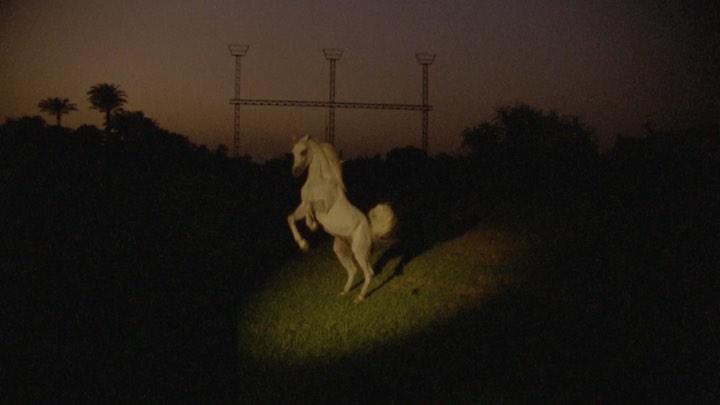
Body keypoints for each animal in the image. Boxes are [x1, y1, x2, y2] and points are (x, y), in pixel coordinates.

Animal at [287, 135, 396, 302]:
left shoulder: (323, 207)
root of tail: (369, 230)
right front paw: (303, 244)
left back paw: (359, 298)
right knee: (354, 270)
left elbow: (309, 207)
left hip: (358, 251)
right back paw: (345, 292)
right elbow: (291, 217)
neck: (318, 183)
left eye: (304, 151)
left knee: (367, 274)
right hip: (342, 251)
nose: (295, 173)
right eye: (293, 152)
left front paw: (312, 225)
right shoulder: (302, 206)